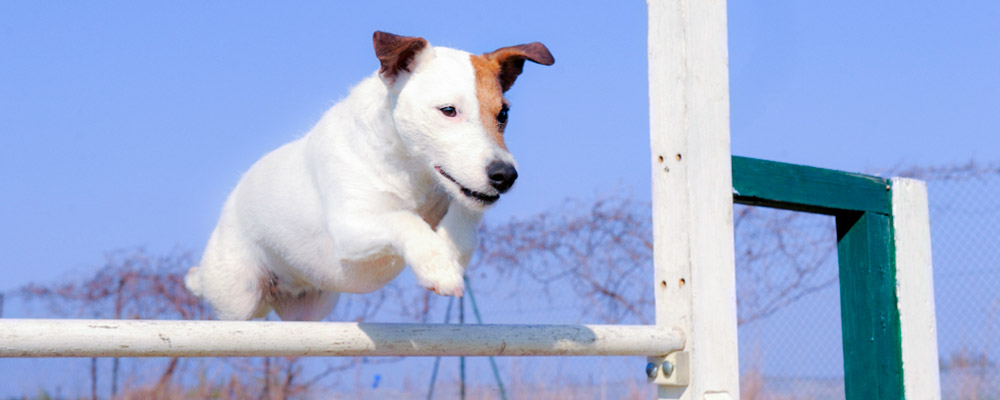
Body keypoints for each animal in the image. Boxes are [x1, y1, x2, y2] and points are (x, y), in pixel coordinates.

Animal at [188, 31, 556, 320]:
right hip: (239, 296)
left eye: (503, 113)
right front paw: (438, 267)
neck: (411, 172)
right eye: (448, 110)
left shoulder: (461, 196)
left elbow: (462, 226)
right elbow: (404, 220)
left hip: (312, 307)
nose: (505, 175)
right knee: (213, 293)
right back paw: (194, 277)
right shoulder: (350, 226)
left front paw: (448, 253)